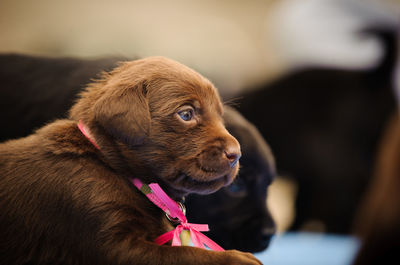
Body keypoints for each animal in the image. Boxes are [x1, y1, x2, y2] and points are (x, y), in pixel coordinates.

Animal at [0, 56, 262, 262]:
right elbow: (185, 254)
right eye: (186, 114)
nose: (236, 154)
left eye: (219, 115)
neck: (111, 167)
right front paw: (238, 258)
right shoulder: (113, 242)